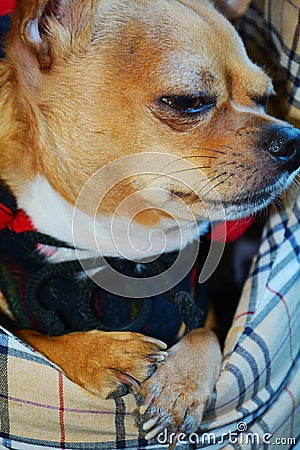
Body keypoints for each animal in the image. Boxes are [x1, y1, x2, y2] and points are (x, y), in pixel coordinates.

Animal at [0, 0, 298, 442]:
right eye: (188, 101)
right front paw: (101, 352)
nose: (293, 140)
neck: (122, 243)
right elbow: (33, 336)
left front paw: (180, 384)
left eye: (264, 98)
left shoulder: (204, 308)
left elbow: (205, 333)